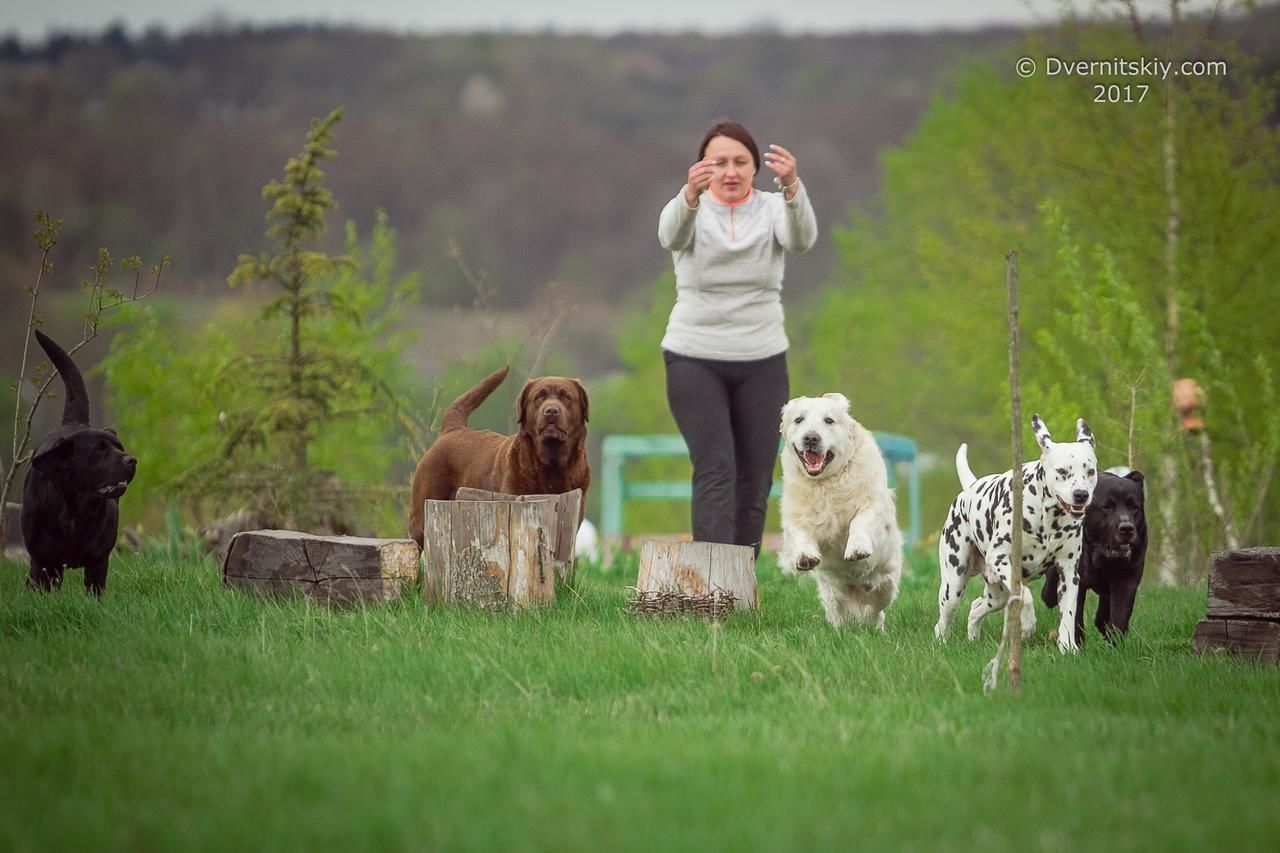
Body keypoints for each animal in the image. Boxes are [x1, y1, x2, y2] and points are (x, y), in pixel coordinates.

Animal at [20, 327, 136, 594]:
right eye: (100, 451)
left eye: (119, 447)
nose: (132, 460)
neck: (76, 512)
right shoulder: (43, 562)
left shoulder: (99, 560)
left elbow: (95, 589)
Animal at [773, 391, 906, 625]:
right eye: (799, 420)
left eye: (829, 420)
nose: (811, 438)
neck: (824, 484)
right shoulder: (796, 516)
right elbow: (800, 533)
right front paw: (805, 557)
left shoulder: (872, 506)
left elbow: (859, 521)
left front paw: (857, 548)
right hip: (833, 597)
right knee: (840, 616)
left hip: (886, 585)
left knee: (876, 610)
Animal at [1039, 468, 1152, 640]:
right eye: (1106, 507)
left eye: (1134, 507)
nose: (1127, 528)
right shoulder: (1077, 580)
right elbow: (1075, 617)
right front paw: (1075, 642)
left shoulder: (1127, 579)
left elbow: (1119, 616)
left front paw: (1116, 642)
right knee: (1049, 591)